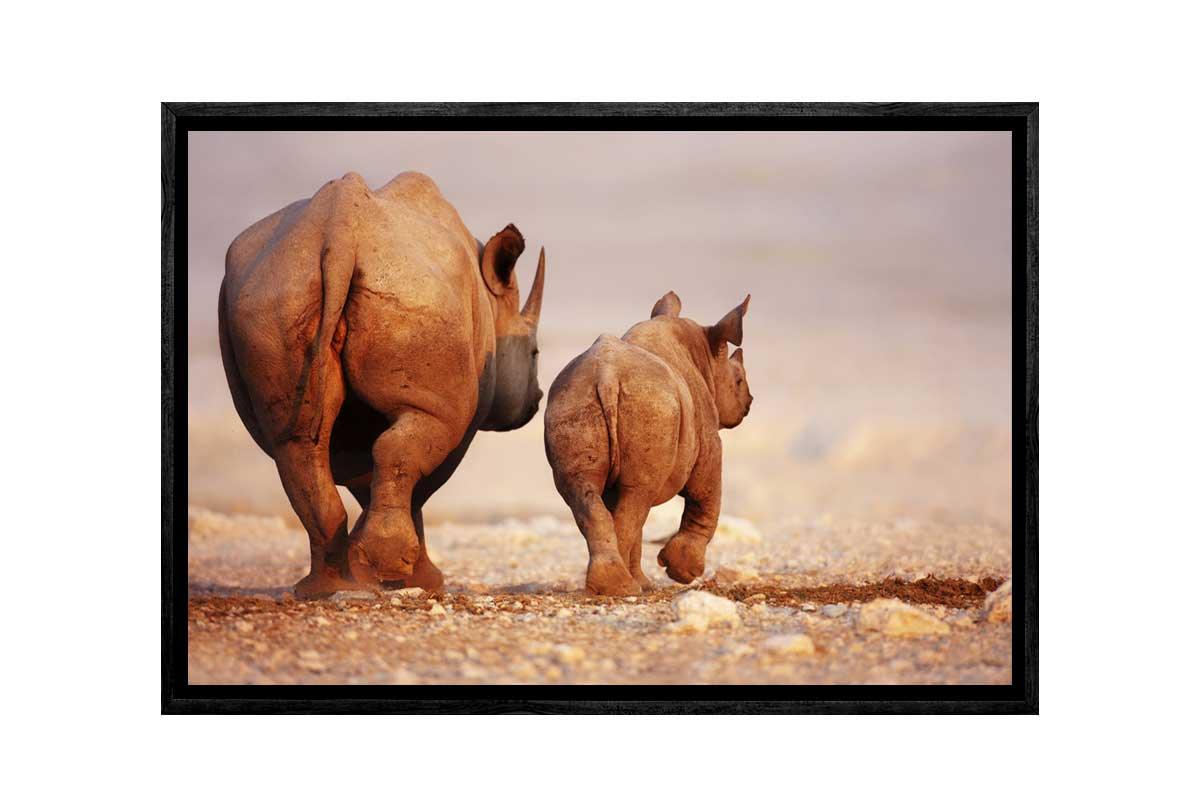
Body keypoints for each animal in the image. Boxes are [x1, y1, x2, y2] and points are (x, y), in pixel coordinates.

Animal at [218, 171, 546, 598]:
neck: (492, 304)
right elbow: (423, 481)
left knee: (295, 445)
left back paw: (322, 587)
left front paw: (370, 568)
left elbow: (366, 475)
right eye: (535, 353)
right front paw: (417, 578)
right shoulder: (462, 410)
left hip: (272, 292)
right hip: (412, 292)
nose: (536, 400)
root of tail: (339, 230)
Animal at [543, 291, 752, 596]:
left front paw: (646, 582)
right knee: (637, 497)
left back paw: (615, 586)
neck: (704, 356)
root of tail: (606, 376)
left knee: (589, 493)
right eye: (738, 381)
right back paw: (624, 588)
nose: (749, 402)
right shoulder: (708, 440)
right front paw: (683, 572)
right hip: (651, 405)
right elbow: (705, 497)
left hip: (572, 400)